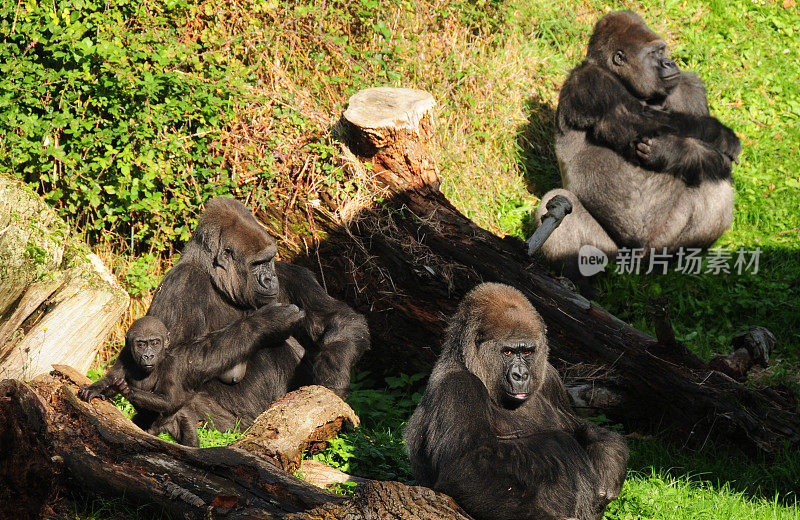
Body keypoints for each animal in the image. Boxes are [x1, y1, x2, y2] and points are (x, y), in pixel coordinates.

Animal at [79, 304, 304, 446]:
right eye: (141, 344)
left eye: (155, 343)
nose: (148, 355)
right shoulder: (125, 355)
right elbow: (110, 379)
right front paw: (97, 387)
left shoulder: (171, 365)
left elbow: (169, 397)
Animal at [406, 284, 632, 520]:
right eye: (508, 352)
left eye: (526, 351)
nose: (521, 375)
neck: (470, 363)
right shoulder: (458, 387)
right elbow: (466, 471)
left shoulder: (550, 378)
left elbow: (582, 428)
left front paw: (608, 467)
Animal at [536, 11, 740, 280]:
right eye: (655, 53)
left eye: (663, 51)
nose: (670, 63)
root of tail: (635, 261)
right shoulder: (591, 82)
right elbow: (638, 120)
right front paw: (721, 133)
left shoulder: (689, 87)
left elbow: (718, 159)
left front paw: (672, 151)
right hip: (610, 252)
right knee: (558, 203)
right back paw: (577, 280)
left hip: (658, 242)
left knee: (715, 183)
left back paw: (674, 262)